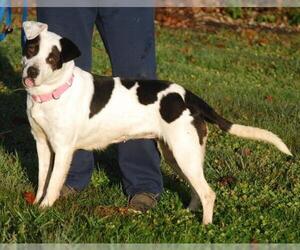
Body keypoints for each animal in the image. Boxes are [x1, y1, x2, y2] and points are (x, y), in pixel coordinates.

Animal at [22, 21, 292, 225]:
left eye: (52, 58)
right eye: (32, 49)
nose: (31, 72)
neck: (54, 92)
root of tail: (188, 96)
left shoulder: (63, 150)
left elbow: (53, 183)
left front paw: (45, 209)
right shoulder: (42, 145)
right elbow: (43, 179)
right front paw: (36, 203)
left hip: (184, 153)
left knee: (208, 192)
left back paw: (205, 226)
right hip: (177, 155)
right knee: (195, 188)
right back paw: (188, 213)